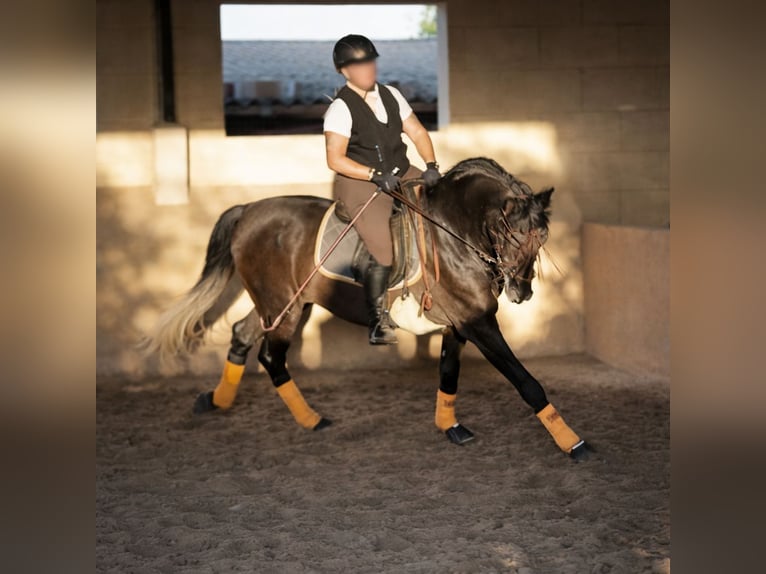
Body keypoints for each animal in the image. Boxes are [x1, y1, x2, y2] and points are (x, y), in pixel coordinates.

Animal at [142, 157, 591, 460]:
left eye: (542, 238)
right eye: (509, 233)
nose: (521, 291)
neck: (453, 232)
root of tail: (248, 210)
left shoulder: (457, 324)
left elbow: (448, 373)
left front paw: (451, 427)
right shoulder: (478, 321)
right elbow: (526, 381)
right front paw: (574, 444)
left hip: (280, 302)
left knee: (241, 334)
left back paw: (215, 401)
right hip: (284, 307)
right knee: (271, 355)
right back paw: (311, 419)